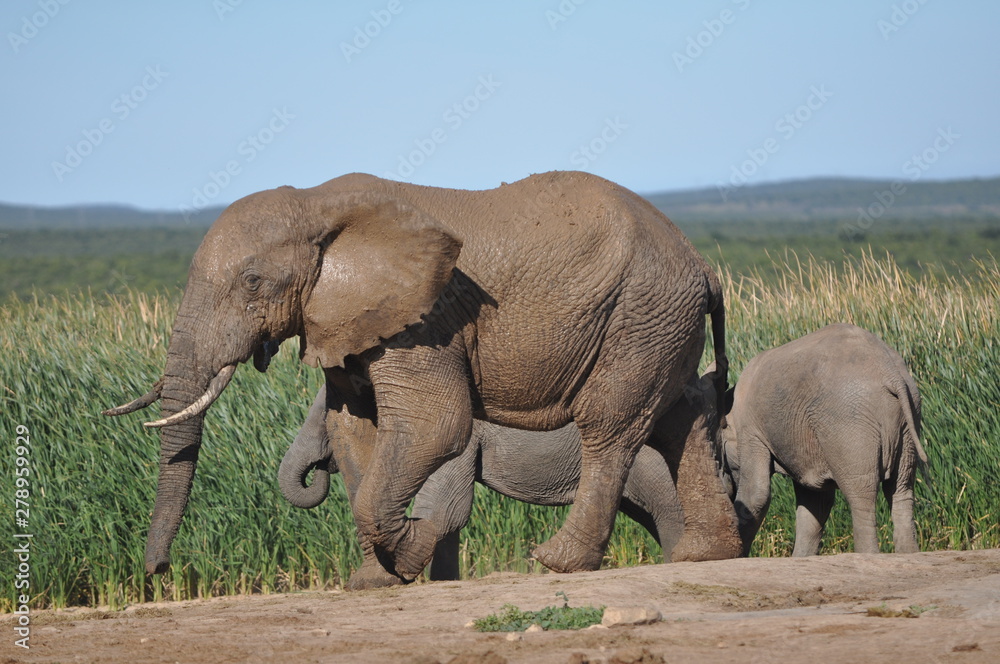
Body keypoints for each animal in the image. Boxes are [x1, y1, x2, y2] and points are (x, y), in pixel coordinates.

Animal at [719, 323, 928, 556]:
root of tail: (891, 374)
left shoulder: (751, 429)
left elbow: (757, 495)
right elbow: (816, 503)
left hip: (848, 424)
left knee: (861, 492)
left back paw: (867, 554)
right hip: (909, 417)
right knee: (901, 488)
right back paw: (909, 554)